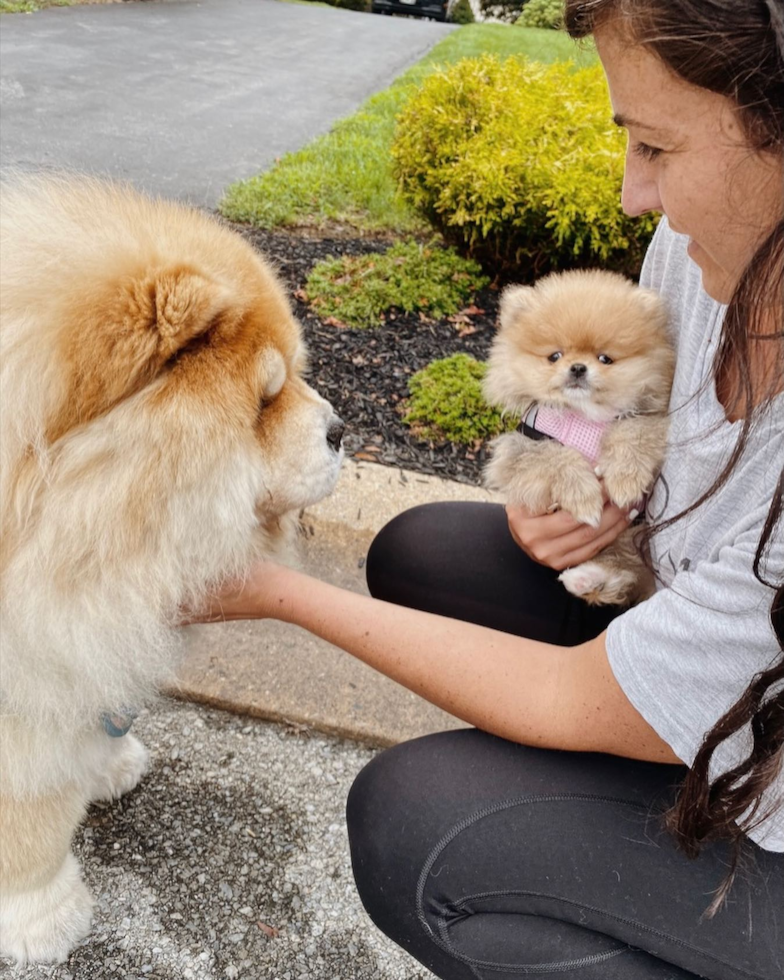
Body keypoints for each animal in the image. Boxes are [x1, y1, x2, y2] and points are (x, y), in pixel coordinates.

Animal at [484, 268, 672, 604]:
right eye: (554, 356)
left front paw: (624, 481)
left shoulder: (647, 420)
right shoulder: (520, 447)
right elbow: (554, 456)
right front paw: (583, 496)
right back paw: (586, 579)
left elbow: (629, 433)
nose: (578, 367)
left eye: (605, 359)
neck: (584, 415)